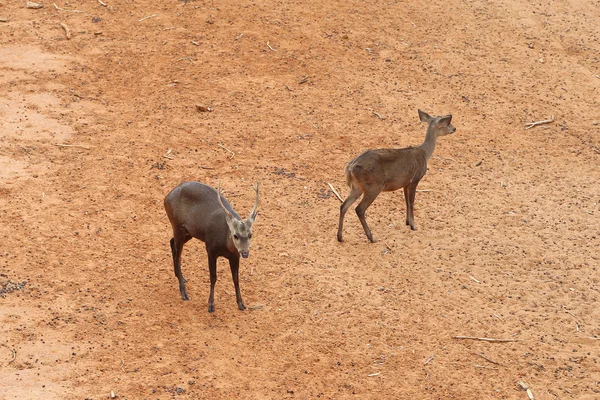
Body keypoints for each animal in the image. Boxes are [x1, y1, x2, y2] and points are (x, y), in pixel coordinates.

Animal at [163, 181, 258, 312]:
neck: (225, 244)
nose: (245, 253)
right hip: (177, 226)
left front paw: (241, 304)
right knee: (178, 254)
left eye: (250, 235)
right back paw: (184, 292)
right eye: (235, 235)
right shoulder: (210, 249)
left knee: (171, 242)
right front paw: (211, 305)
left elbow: (235, 278)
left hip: (189, 232)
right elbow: (213, 277)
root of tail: (166, 197)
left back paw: (180, 277)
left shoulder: (234, 256)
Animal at [338, 108, 454, 242]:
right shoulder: (415, 179)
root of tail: (350, 168)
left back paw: (340, 237)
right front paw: (413, 226)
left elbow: (406, 201)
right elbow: (411, 202)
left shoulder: (405, 183)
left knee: (343, 206)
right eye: (447, 123)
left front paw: (407, 222)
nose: (454, 128)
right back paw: (371, 238)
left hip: (357, 187)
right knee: (359, 209)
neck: (424, 154)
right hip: (373, 186)